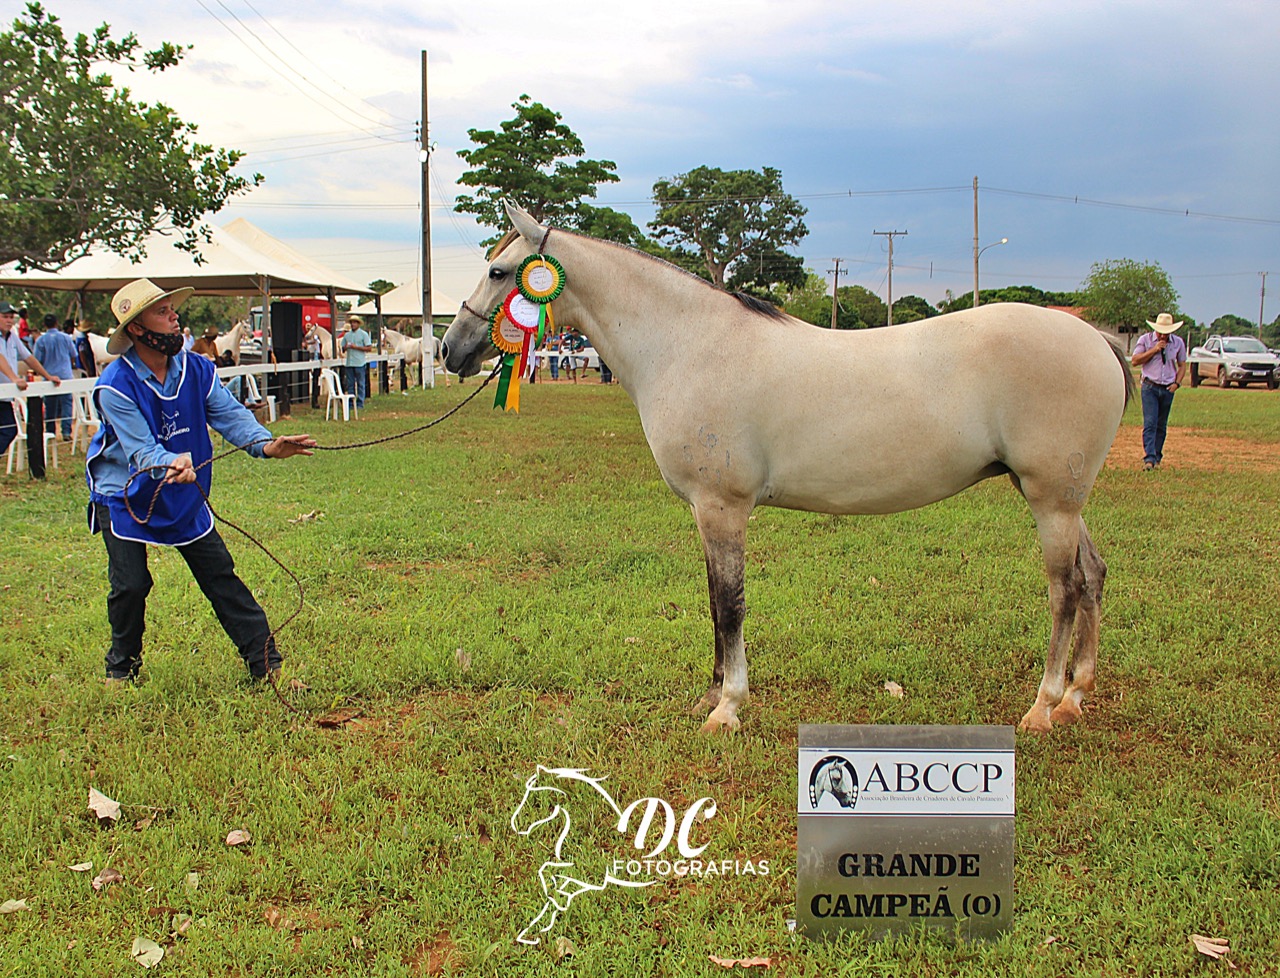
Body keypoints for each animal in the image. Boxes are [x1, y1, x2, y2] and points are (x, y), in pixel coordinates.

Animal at [445, 202, 1136, 732]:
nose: (452, 349)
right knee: (1094, 575)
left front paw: (727, 709)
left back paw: (1043, 707)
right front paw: (711, 693)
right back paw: (1076, 696)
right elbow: (712, 599)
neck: (689, 343)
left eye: (499, 271)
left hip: (1052, 501)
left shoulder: (722, 507)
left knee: (1065, 589)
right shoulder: (707, 512)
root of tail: (1098, 339)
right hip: (1060, 498)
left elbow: (730, 604)